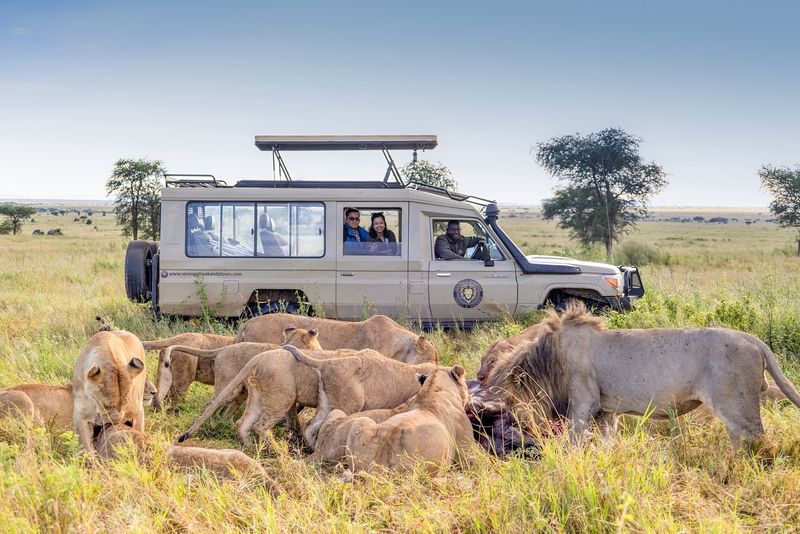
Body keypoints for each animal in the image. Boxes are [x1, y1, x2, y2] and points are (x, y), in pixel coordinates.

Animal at [488, 304, 800, 450]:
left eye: (508, 399)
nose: (514, 424)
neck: (550, 360)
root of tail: (755, 341)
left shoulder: (583, 404)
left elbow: (573, 443)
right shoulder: (605, 411)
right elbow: (606, 442)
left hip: (736, 404)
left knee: (754, 437)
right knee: (740, 437)